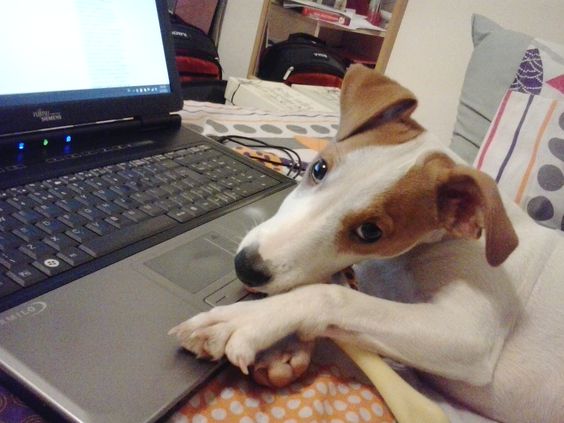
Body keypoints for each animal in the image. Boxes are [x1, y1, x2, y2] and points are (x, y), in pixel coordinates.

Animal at [171, 64, 564, 422]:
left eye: (370, 232)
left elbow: (330, 295)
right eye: (318, 168)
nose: (246, 267)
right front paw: (285, 350)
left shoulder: (469, 335)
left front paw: (246, 321)